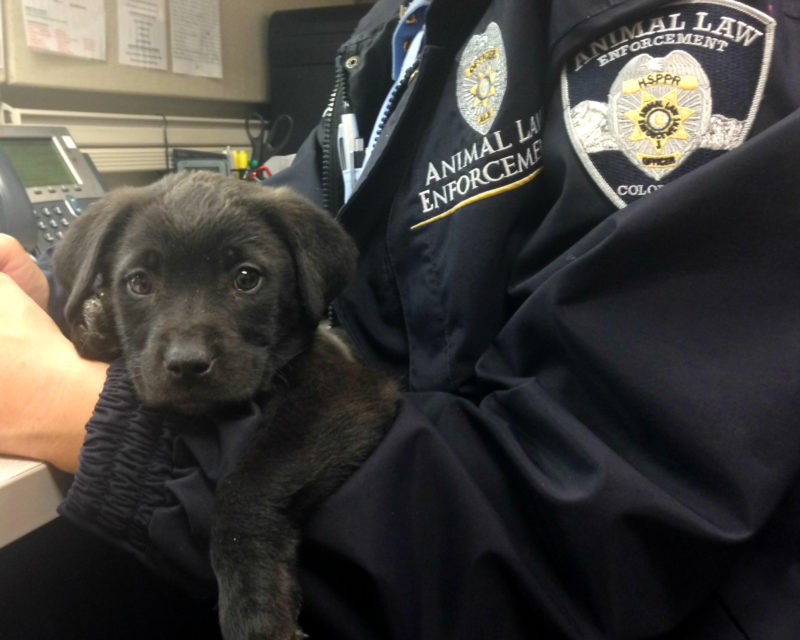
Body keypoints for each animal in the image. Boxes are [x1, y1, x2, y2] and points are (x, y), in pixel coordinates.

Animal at [53, 171, 396, 640]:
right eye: (139, 283)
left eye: (247, 278)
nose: (187, 363)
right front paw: (98, 320)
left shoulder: (345, 389)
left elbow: (248, 485)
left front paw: (254, 606)